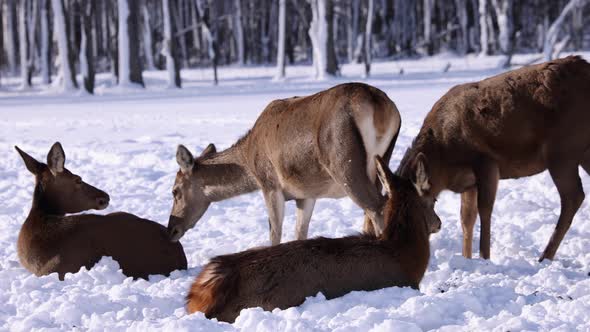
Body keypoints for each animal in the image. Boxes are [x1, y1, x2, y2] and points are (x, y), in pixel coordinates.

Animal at [169, 82, 404, 245]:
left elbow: (275, 232)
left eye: (175, 190)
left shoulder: (270, 184)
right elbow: (300, 232)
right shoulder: (307, 193)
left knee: (377, 206)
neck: (248, 161)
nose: (172, 229)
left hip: (344, 163)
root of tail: (380, 107)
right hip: (381, 159)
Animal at [396, 55, 590, 262]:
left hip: (562, 149)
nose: (437, 225)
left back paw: (544, 257)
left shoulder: (486, 161)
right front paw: (466, 258)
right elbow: (466, 218)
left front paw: (484, 257)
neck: (443, 161)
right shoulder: (468, 182)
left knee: (573, 197)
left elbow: (485, 210)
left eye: (425, 204)